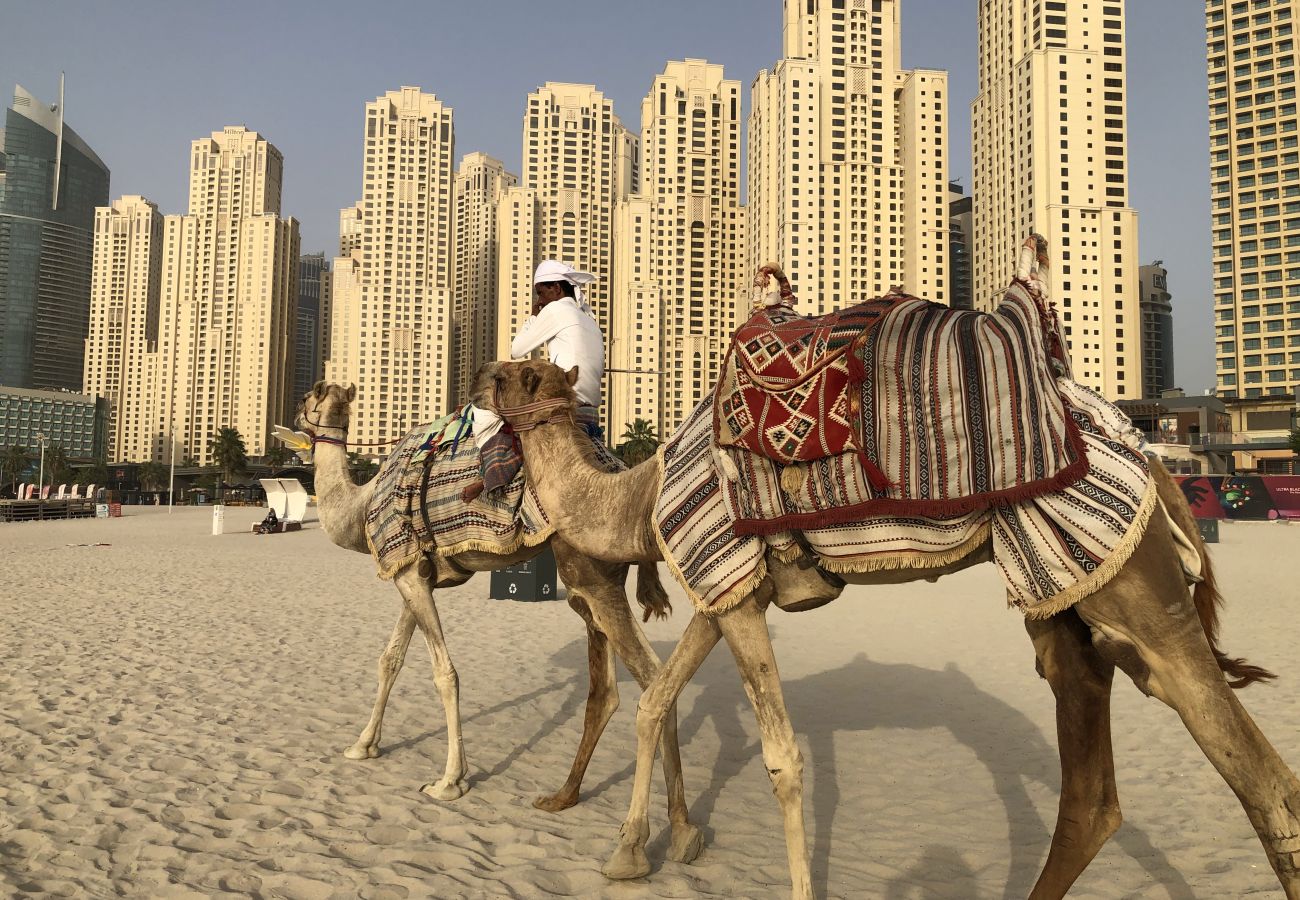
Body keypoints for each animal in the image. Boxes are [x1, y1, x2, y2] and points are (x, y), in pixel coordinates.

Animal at [296, 382, 707, 863]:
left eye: (307, 398)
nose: (295, 420)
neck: (360, 508)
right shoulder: (414, 574)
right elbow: (390, 659)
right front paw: (363, 745)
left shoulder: (407, 572)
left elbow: (444, 673)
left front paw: (449, 780)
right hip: (591, 582)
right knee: (609, 688)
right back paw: (586, 803)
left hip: (591, 574)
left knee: (652, 677)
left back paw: (659, 835)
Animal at [488, 358, 1300, 900]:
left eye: (516, 377)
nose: (483, 376)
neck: (640, 493)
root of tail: (1152, 458)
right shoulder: (727, 593)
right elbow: (657, 701)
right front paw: (634, 852)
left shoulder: (727, 577)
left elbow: (780, 757)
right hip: (1067, 600)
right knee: (1095, 795)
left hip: (1126, 582)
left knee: (1259, 779)